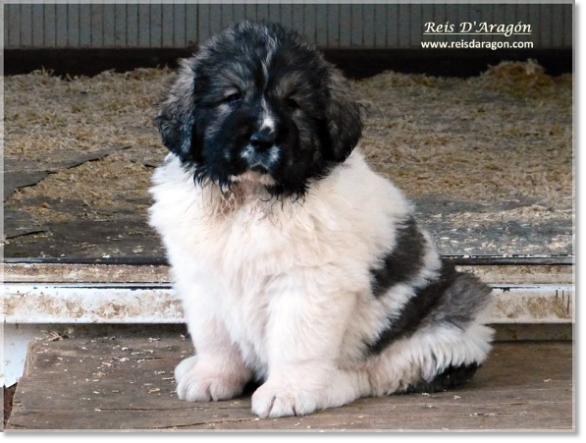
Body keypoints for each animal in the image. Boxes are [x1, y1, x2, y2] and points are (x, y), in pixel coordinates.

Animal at [148, 21, 490, 420]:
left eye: (293, 103)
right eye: (232, 98)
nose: (263, 137)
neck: (253, 198)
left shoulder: (310, 282)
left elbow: (297, 342)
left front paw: (287, 392)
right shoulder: (201, 277)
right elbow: (214, 337)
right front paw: (211, 376)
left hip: (444, 324)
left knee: (375, 375)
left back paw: (330, 385)